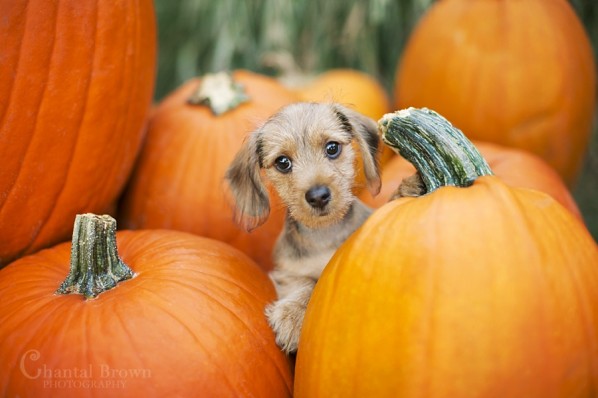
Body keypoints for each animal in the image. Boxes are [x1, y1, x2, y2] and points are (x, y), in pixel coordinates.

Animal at [227, 101, 382, 352]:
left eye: (332, 148)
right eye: (283, 162)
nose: (318, 196)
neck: (324, 234)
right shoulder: (287, 273)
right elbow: (307, 283)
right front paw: (293, 314)